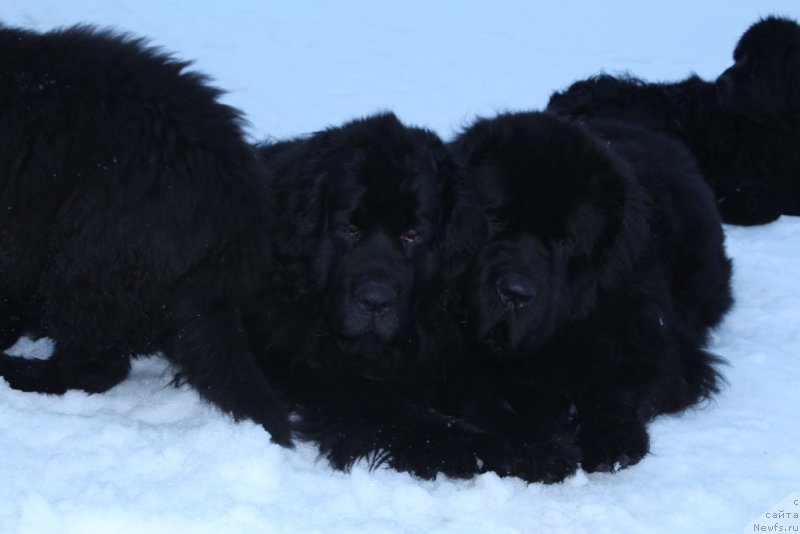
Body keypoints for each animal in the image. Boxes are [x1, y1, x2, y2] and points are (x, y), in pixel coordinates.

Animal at [244, 114, 506, 482]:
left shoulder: (442, 343)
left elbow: (478, 389)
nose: (375, 301)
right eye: (350, 229)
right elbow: (393, 405)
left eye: (411, 234)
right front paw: (473, 446)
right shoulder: (319, 368)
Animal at [446, 113, 736, 482]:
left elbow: (617, 382)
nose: (515, 293)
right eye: (494, 219)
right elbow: (485, 400)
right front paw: (541, 448)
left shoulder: (658, 342)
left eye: (564, 242)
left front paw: (612, 437)